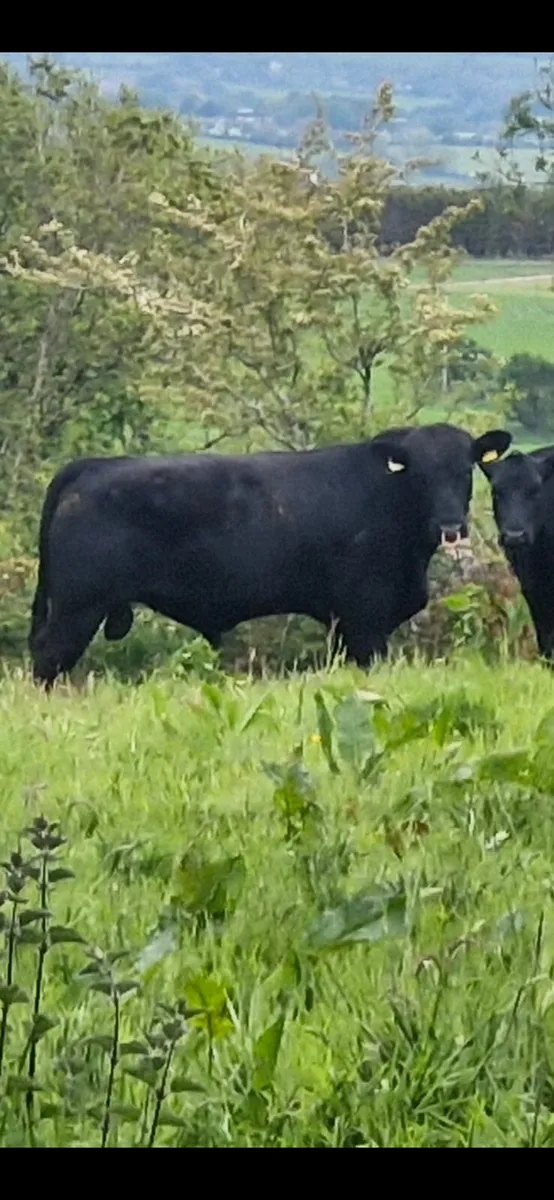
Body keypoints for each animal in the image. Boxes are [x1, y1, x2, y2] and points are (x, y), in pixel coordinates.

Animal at [29, 422, 512, 687]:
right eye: (420, 474)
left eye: (465, 470)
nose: (450, 525)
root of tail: (93, 465)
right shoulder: (364, 619)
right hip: (77, 607)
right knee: (47, 659)